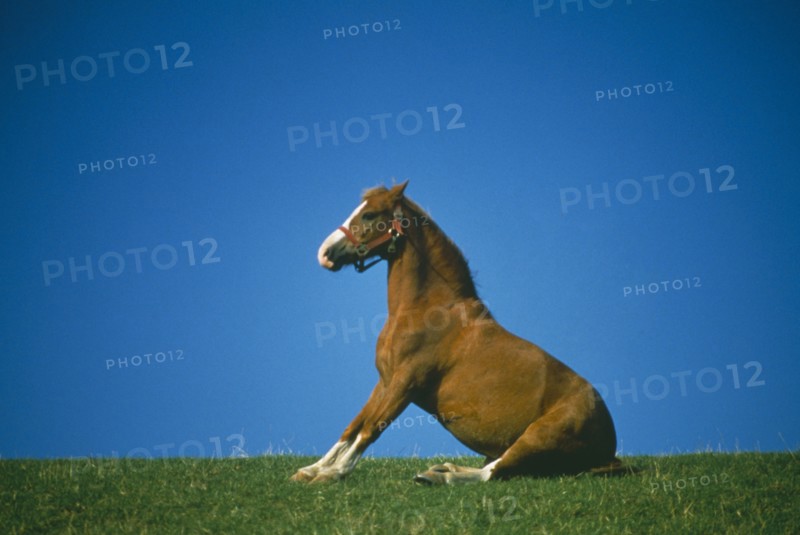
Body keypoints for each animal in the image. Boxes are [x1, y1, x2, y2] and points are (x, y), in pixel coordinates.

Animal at [291, 181, 627, 484]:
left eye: (370, 214)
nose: (324, 253)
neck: (427, 312)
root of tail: (609, 450)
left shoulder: (405, 382)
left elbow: (371, 427)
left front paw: (333, 474)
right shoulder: (385, 381)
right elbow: (352, 426)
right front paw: (312, 469)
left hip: (538, 437)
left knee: (493, 472)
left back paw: (441, 477)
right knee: (492, 464)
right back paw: (441, 469)